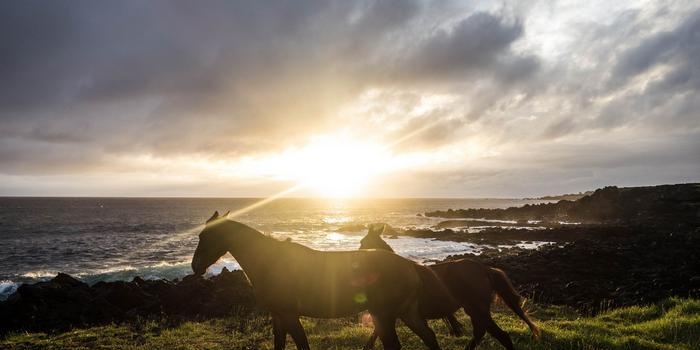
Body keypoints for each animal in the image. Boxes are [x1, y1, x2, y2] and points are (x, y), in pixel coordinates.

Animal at [191, 212, 456, 348]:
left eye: (206, 236)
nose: (195, 267)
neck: (271, 261)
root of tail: (410, 265)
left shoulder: (289, 315)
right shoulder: (278, 316)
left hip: (385, 315)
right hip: (406, 312)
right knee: (429, 338)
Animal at [358, 224, 540, 350]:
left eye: (362, 242)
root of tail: (485, 269)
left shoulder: (391, 311)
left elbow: (378, 332)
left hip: (477, 309)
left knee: (500, 335)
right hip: (475, 310)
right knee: (480, 332)